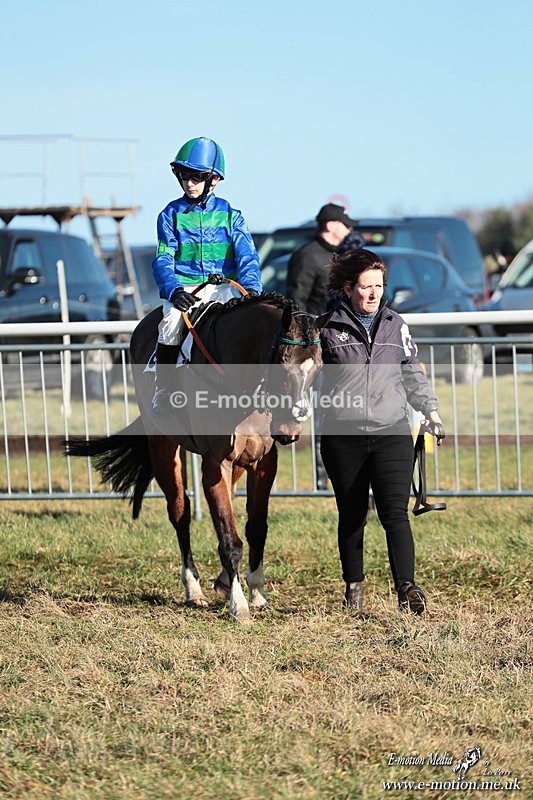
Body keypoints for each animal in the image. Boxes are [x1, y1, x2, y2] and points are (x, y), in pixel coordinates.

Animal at [65, 291, 330, 623]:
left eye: (318, 368)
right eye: (282, 364)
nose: (290, 431)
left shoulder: (263, 464)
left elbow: (256, 528)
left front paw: (256, 593)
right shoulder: (215, 464)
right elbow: (229, 539)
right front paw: (239, 605)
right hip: (163, 447)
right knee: (180, 513)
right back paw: (193, 589)